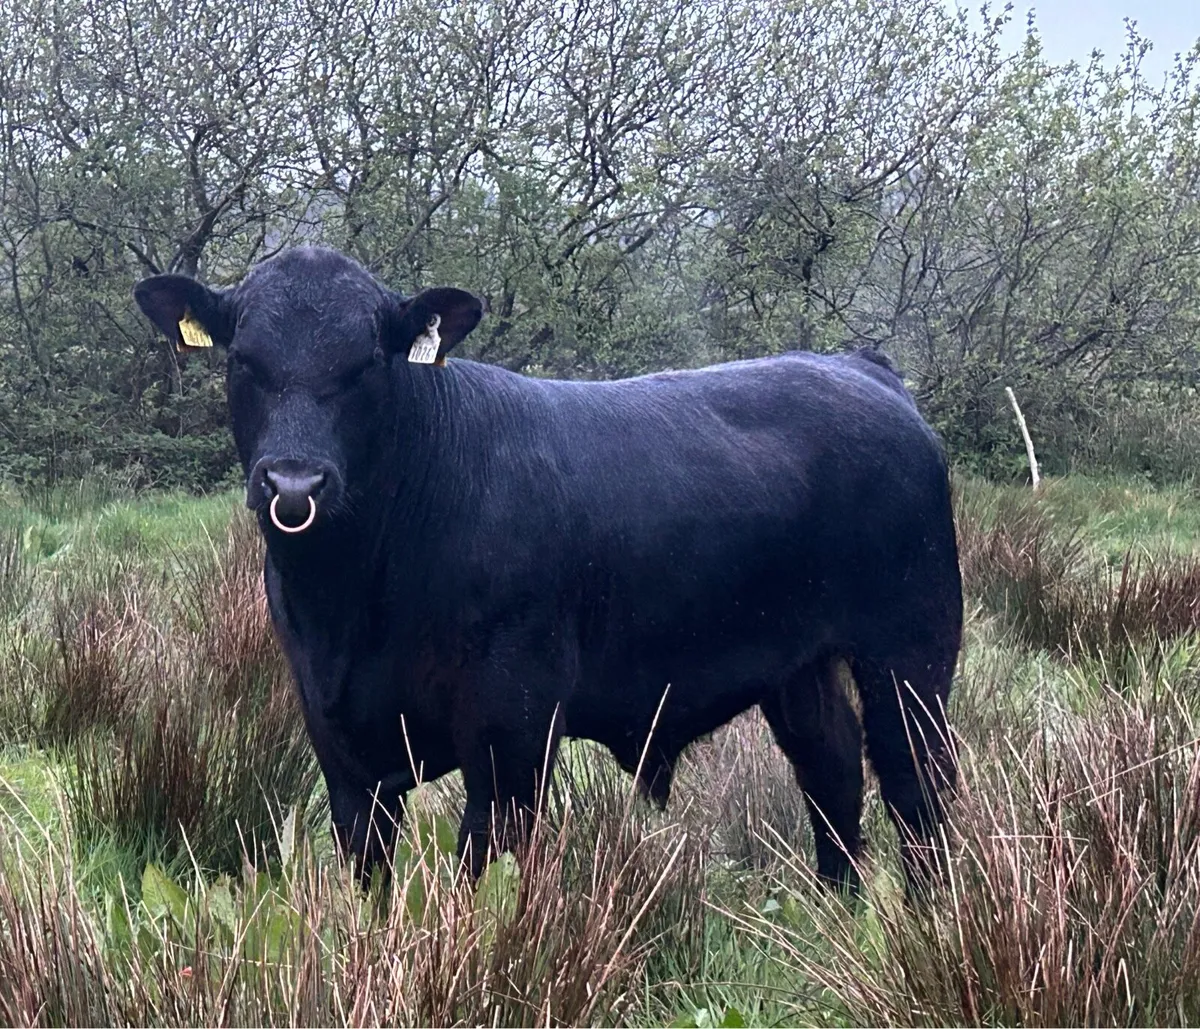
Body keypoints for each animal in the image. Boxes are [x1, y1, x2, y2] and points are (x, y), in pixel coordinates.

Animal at [133, 246, 962, 895]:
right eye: (244, 360)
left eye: (366, 362)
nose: (295, 483)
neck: (350, 599)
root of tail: (858, 368)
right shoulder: (340, 745)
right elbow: (369, 878)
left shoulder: (512, 733)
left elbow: (483, 874)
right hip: (797, 664)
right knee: (831, 768)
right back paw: (837, 910)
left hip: (909, 652)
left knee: (916, 783)